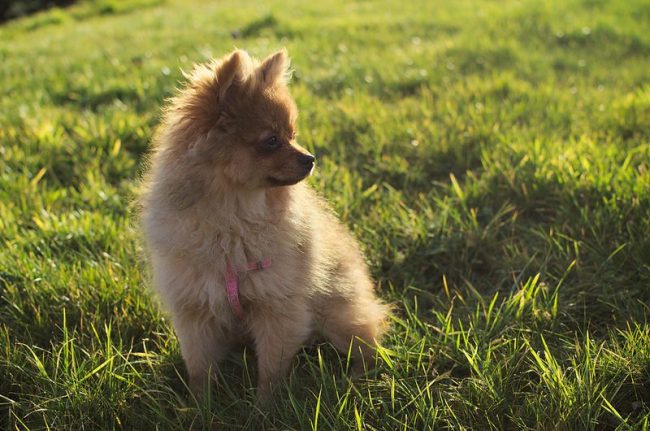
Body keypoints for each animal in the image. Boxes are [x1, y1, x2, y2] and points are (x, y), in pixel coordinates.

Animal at [137, 49, 388, 404]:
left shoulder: (277, 308)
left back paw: (355, 378)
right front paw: (201, 406)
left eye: (292, 135)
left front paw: (263, 408)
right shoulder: (194, 309)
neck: (233, 221)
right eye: (271, 141)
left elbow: (270, 370)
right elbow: (200, 369)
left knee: (367, 343)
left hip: (337, 314)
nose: (310, 158)